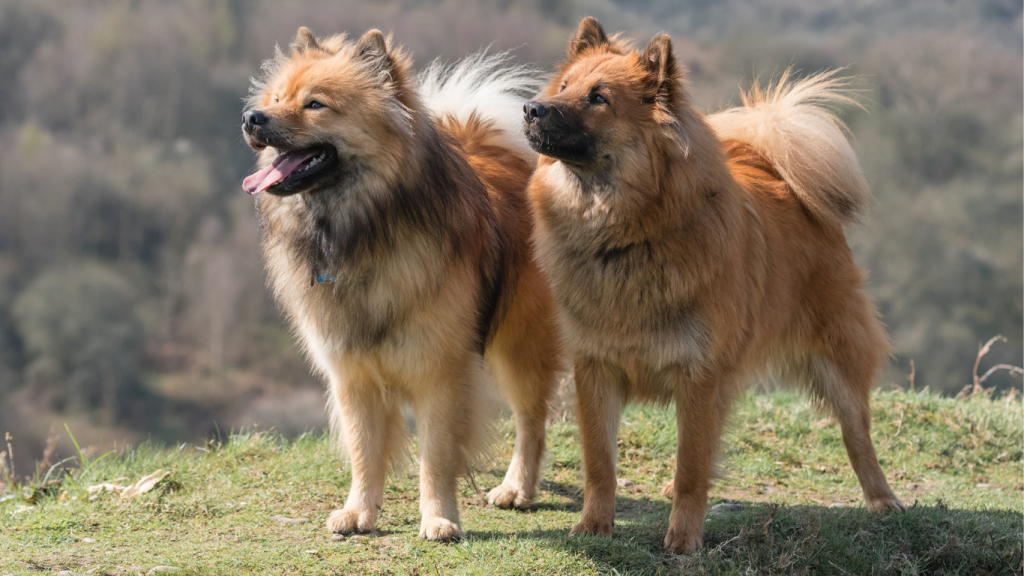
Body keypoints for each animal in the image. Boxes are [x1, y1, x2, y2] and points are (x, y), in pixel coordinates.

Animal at [241, 27, 561, 540]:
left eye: (315, 104)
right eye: (275, 98)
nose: (252, 117)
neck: (362, 231)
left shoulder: (441, 372)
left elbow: (437, 456)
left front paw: (439, 518)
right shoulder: (352, 375)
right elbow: (364, 453)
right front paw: (358, 512)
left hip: (519, 347)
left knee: (531, 422)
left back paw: (517, 489)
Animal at [524, 17, 904, 553]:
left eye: (598, 98)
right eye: (562, 88)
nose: (531, 108)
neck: (626, 236)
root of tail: (778, 172)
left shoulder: (698, 374)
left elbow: (691, 467)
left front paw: (683, 539)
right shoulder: (595, 368)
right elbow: (600, 463)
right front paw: (594, 526)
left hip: (838, 359)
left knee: (858, 433)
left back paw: (882, 498)